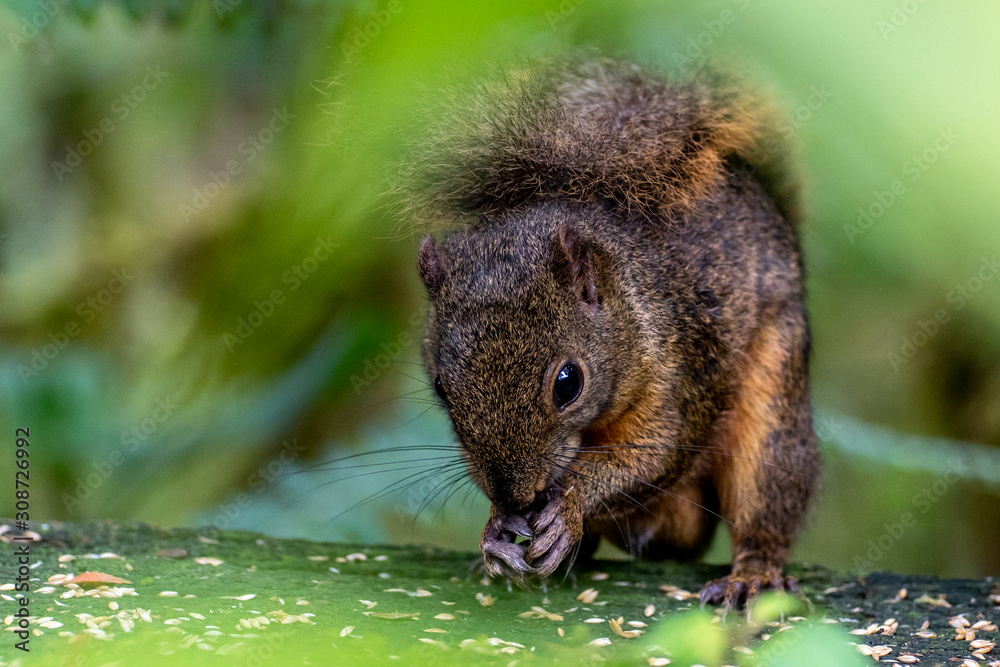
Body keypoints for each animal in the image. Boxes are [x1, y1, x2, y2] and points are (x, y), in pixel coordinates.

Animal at [406, 56, 821, 608]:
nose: (517, 497)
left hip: (774, 399)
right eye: (440, 388)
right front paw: (495, 532)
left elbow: (653, 456)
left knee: (765, 504)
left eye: (568, 383)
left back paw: (752, 574)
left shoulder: (680, 374)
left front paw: (570, 503)